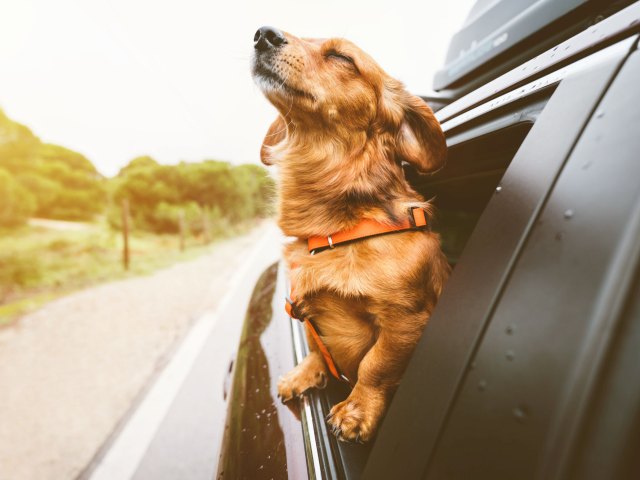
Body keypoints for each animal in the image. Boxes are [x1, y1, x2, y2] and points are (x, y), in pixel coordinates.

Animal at [250, 26, 450, 442]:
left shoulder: (406, 320)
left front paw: (357, 410)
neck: (335, 233)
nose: (262, 34)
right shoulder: (303, 308)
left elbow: (376, 365)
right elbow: (316, 345)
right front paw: (307, 373)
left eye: (342, 58)